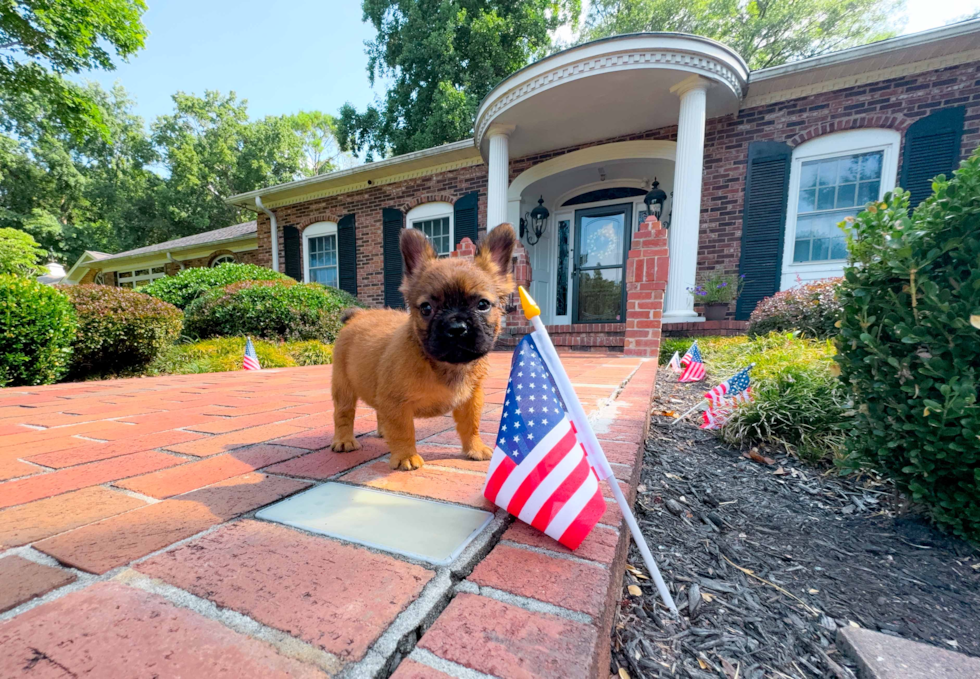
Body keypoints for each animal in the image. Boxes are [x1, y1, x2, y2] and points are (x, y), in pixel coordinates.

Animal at [330, 226, 516, 470]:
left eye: (483, 305)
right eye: (426, 308)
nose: (456, 327)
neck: (446, 366)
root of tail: (358, 315)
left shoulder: (471, 400)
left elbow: (471, 425)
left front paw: (474, 448)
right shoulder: (396, 403)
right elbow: (403, 430)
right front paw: (406, 455)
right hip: (343, 387)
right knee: (344, 414)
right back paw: (344, 440)